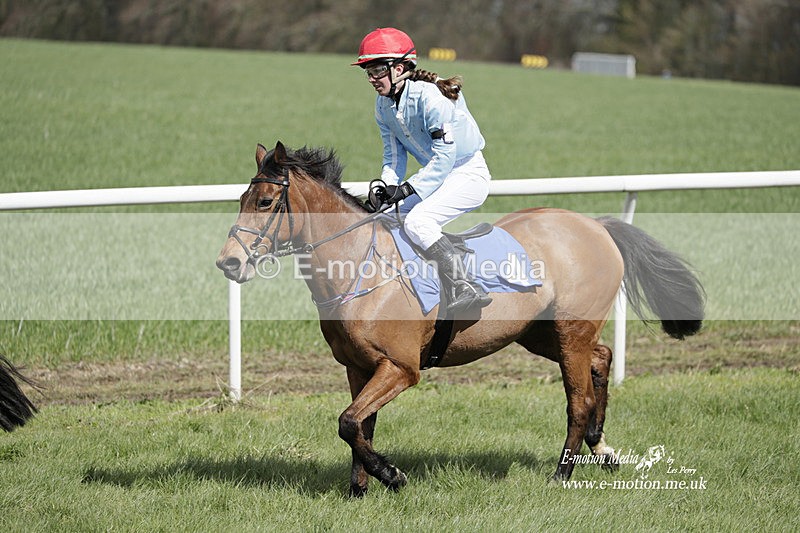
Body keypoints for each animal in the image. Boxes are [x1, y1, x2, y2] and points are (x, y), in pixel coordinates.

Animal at [216, 141, 704, 496]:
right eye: (241, 198)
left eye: (265, 201)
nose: (229, 263)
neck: (361, 268)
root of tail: (596, 225)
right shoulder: (358, 366)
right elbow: (360, 426)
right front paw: (359, 491)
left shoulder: (401, 368)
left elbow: (349, 422)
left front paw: (392, 476)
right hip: (538, 334)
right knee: (602, 357)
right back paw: (602, 447)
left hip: (570, 332)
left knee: (578, 400)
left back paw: (562, 474)